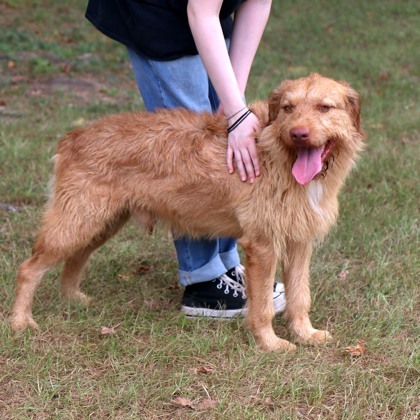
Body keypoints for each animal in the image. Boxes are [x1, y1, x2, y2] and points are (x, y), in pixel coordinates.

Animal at [9, 73, 364, 352]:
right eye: (288, 108)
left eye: (324, 107)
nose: (298, 134)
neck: (275, 152)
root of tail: (73, 136)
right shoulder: (263, 245)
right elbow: (262, 305)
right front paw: (270, 343)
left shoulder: (300, 242)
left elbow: (300, 295)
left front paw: (305, 333)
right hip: (76, 222)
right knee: (28, 269)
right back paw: (20, 321)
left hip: (100, 224)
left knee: (76, 258)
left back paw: (72, 298)